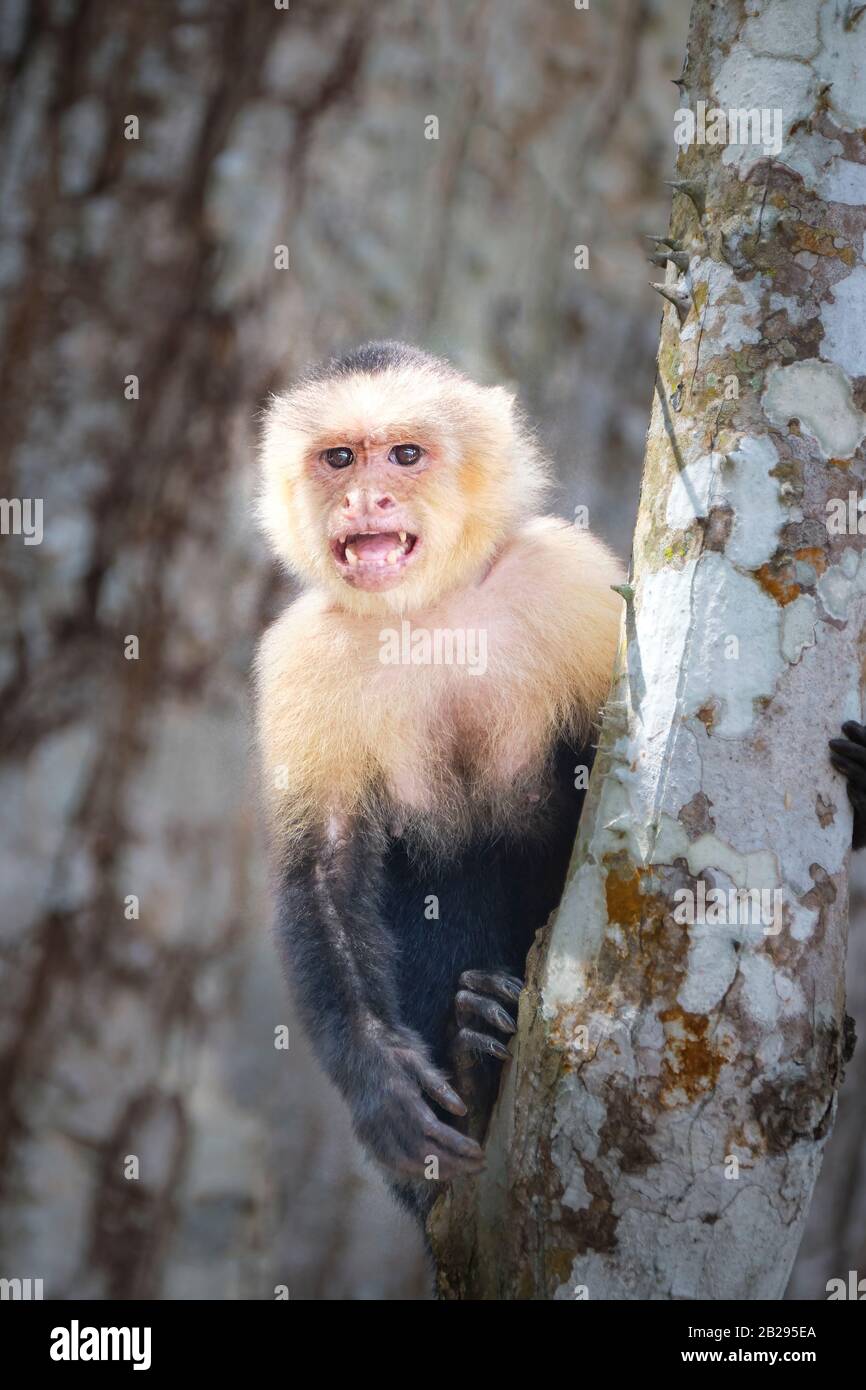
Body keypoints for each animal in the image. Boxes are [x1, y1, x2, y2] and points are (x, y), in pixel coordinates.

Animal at [254, 340, 623, 1215]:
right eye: (339, 458)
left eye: (405, 455)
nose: (368, 497)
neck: (428, 615)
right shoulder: (299, 655)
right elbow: (322, 867)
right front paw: (379, 1078)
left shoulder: (571, 580)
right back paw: (472, 1054)